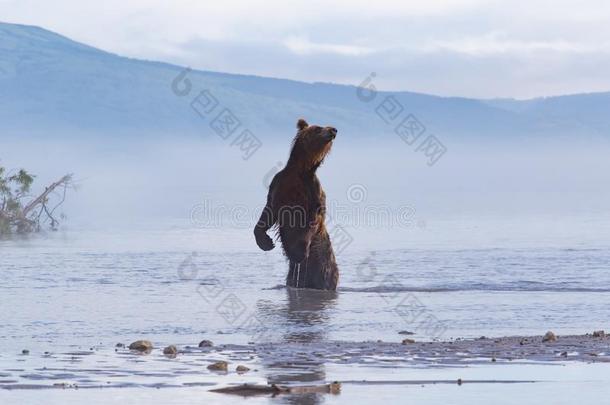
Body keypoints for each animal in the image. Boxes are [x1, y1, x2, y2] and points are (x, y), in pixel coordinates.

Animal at [252, 118, 338, 288]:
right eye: (318, 128)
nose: (334, 130)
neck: (301, 169)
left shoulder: (313, 190)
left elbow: (313, 218)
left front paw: (299, 252)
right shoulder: (279, 185)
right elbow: (268, 212)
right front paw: (266, 242)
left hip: (324, 265)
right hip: (294, 274)